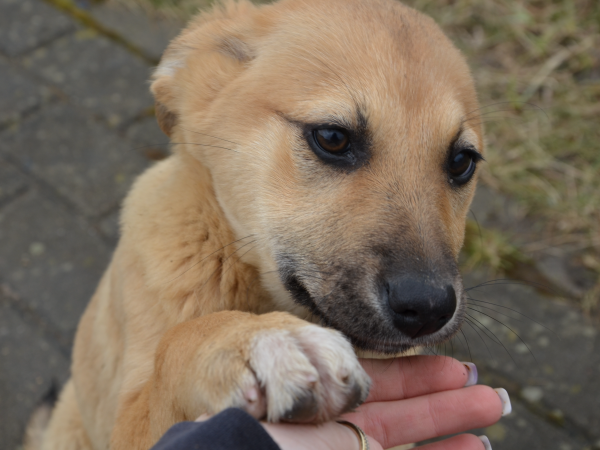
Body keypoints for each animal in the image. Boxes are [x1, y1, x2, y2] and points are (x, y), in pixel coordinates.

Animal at [32, 0, 486, 450]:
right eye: (332, 137)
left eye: (462, 162)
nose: (428, 309)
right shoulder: (125, 424)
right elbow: (175, 345)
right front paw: (256, 341)